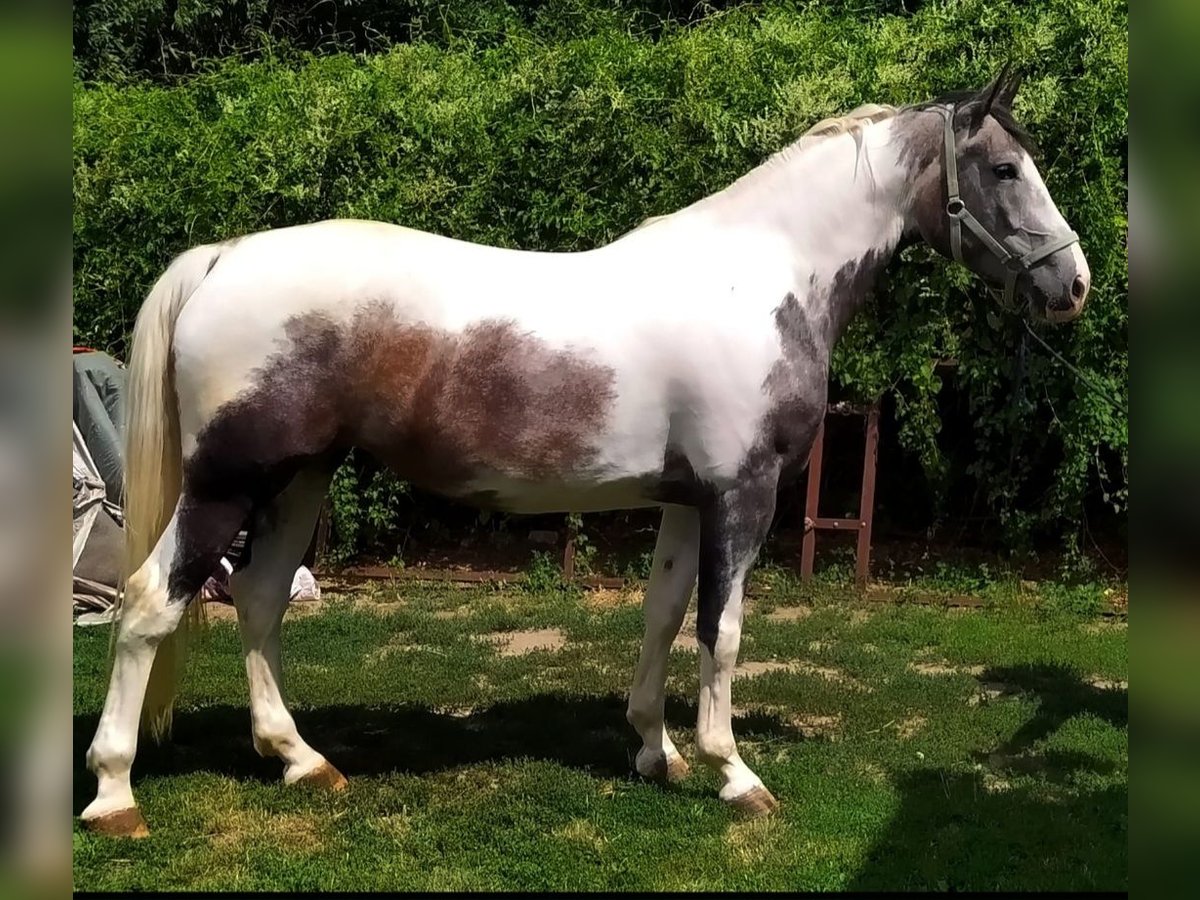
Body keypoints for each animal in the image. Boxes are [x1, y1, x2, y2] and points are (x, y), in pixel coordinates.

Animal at [81, 70, 1090, 837]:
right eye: (1005, 168)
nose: (1073, 284)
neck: (762, 278)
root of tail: (224, 257)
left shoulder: (685, 498)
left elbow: (663, 614)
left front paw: (656, 751)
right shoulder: (743, 496)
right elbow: (722, 631)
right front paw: (734, 773)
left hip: (299, 481)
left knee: (257, 599)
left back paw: (300, 761)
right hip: (228, 483)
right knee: (150, 603)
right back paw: (115, 796)